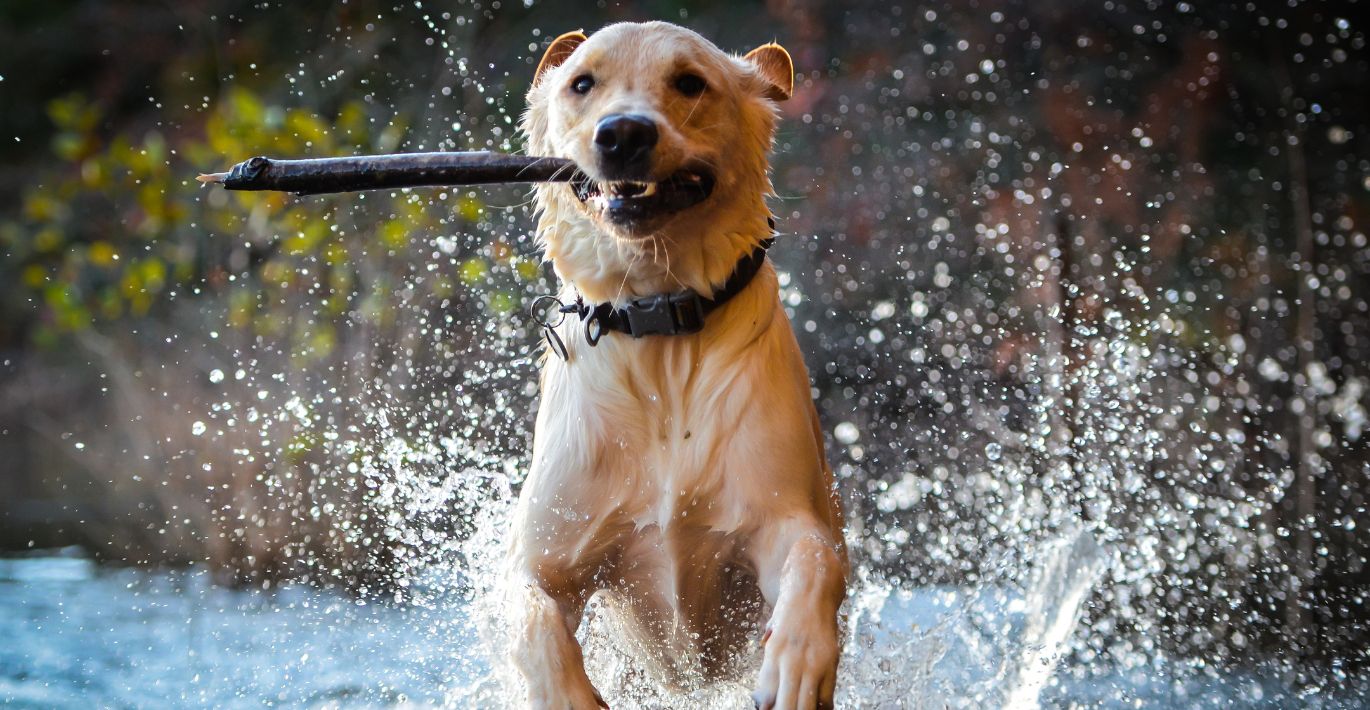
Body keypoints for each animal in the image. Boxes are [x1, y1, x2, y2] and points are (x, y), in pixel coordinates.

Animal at [509, 22, 838, 710]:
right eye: (582, 83)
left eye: (690, 82)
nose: (624, 134)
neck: (657, 323)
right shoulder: (546, 553)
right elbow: (533, 619)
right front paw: (569, 696)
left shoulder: (784, 516)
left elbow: (816, 561)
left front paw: (798, 665)